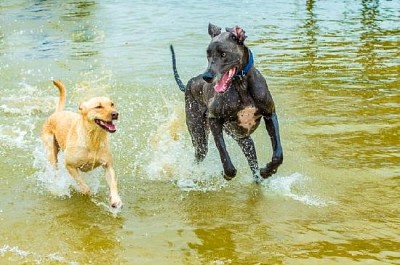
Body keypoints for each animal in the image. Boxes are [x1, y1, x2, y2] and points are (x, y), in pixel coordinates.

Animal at [170, 23, 282, 182]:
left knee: (253, 161)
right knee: (198, 155)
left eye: (223, 54)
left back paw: (258, 178)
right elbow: (223, 152)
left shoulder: (270, 114)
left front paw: (267, 171)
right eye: (208, 55)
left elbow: (278, 154)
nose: (207, 76)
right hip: (199, 136)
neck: (241, 84)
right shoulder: (214, 119)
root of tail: (189, 83)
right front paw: (226, 174)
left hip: (244, 140)